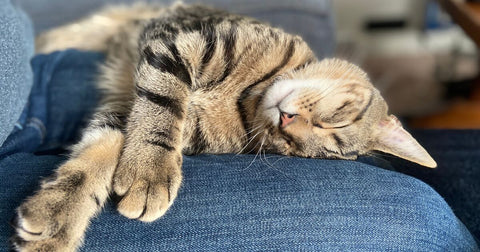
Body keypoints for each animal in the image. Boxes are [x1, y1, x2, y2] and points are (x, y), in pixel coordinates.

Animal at [13, 2, 436, 251]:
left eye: (292, 148)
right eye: (336, 123)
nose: (287, 122)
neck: (248, 96)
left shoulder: (130, 111)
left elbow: (101, 150)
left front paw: (59, 216)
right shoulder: (177, 40)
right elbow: (162, 106)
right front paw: (151, 171)